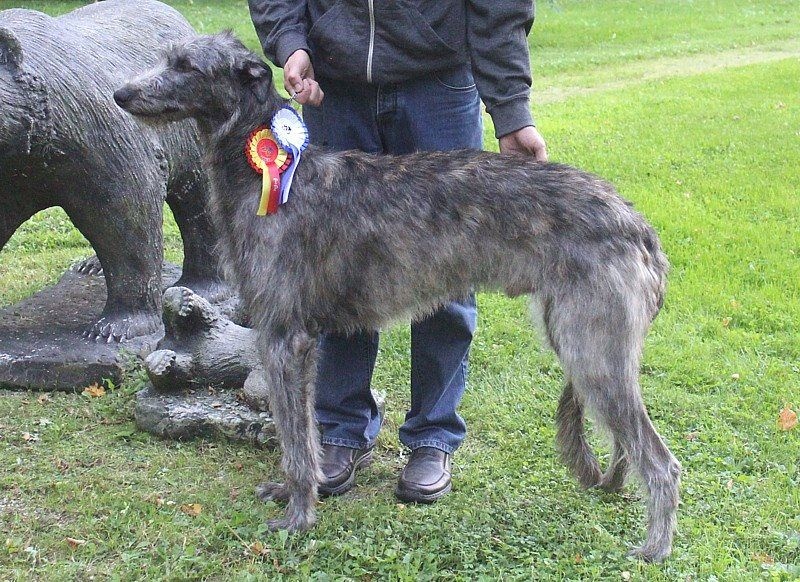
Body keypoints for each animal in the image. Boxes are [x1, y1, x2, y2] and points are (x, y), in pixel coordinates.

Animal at [114, 32, 681, 562]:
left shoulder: (283, 337)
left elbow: (294, 440)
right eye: (167, 57)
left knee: (662, 461)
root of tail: (638, 226)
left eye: (186, 66)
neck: (265, 173)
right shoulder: (300, 340)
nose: (120, 94)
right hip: (582, 342)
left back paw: (654, 548)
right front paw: (300, 492)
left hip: (592, 348)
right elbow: (307, 433)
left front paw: (298, 515)